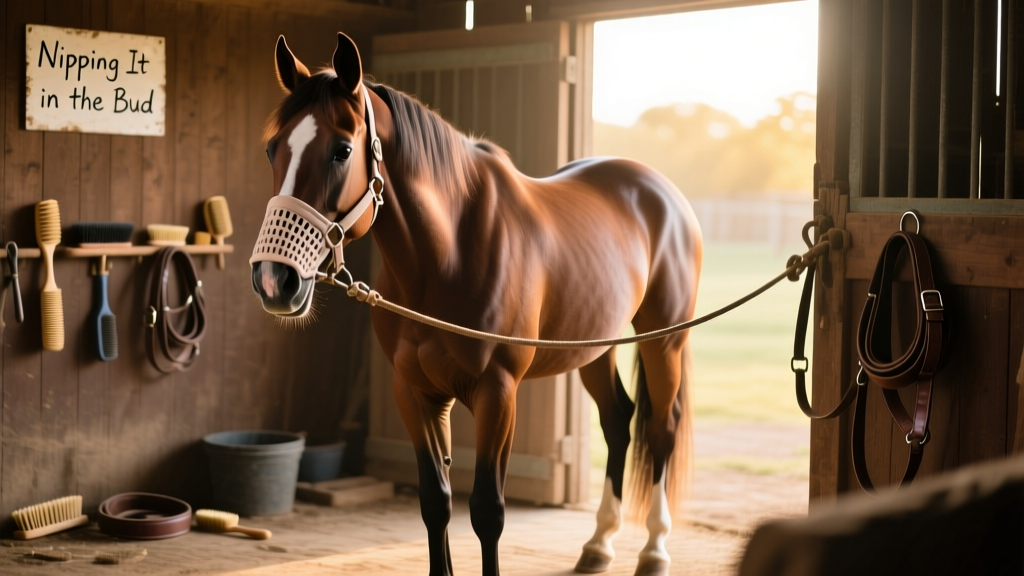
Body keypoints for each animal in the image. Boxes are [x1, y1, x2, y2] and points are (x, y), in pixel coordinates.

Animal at [250, 32, 703, 576]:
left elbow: (487, 511)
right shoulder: (415, 391)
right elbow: (435, 501)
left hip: (665, 341)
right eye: (273, 147)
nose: (274, 280)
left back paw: (654, 549)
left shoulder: (497, 393)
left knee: (660, 428)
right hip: (596, 345)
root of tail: (662, 191)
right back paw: (598, 544)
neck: (448, 256)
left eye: (342, 150)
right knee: (618, 421)